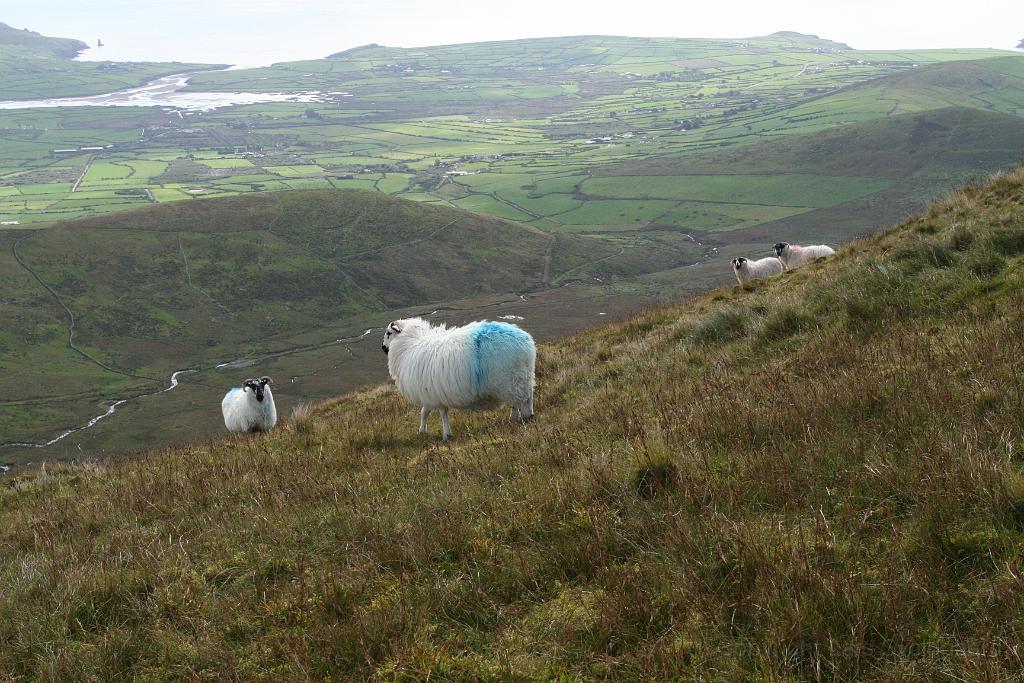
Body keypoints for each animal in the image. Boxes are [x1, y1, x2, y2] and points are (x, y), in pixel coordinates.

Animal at [381, 317, 535, 440]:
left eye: (389, 333)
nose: (383, 348)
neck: (408, 345)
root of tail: (526, 340)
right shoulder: (431, 395)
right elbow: (425, 412)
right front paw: (423, 432)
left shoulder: (433, 394)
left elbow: (439, 414)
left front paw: (445, 435)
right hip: (521, 376)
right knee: (524, 397)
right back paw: (523, 416)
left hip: (511, 379)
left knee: (520, 400)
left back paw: (520, 417)